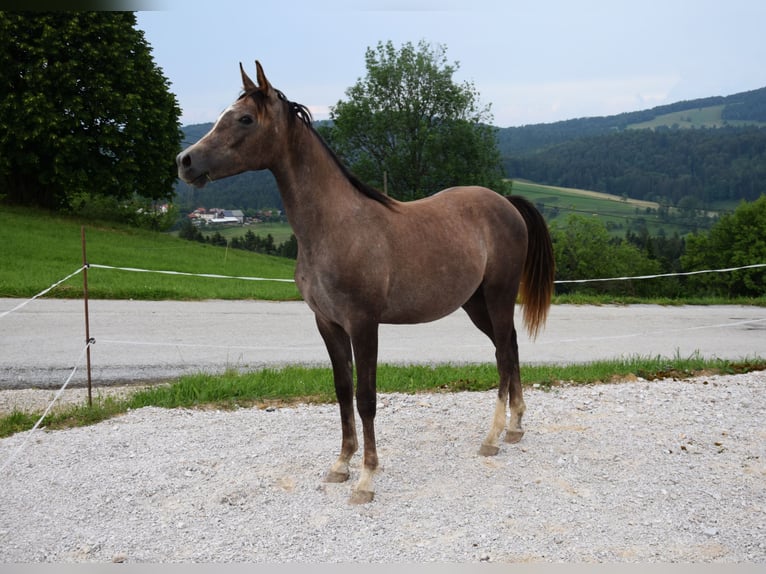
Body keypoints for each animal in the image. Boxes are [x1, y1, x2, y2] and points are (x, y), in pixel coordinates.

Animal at [177, 60, 556, 506]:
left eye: (245, 119)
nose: (185, 161)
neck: (335, 227)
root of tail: (506, 204)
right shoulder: (328, 324)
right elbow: (342, 391)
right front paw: (341, 465)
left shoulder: (364, 324)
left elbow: (366, 398)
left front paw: (366, 478)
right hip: (475, 304)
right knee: (508, 347)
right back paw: (515, 427)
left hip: (497, 297)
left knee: (502, 355)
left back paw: (493, 436)